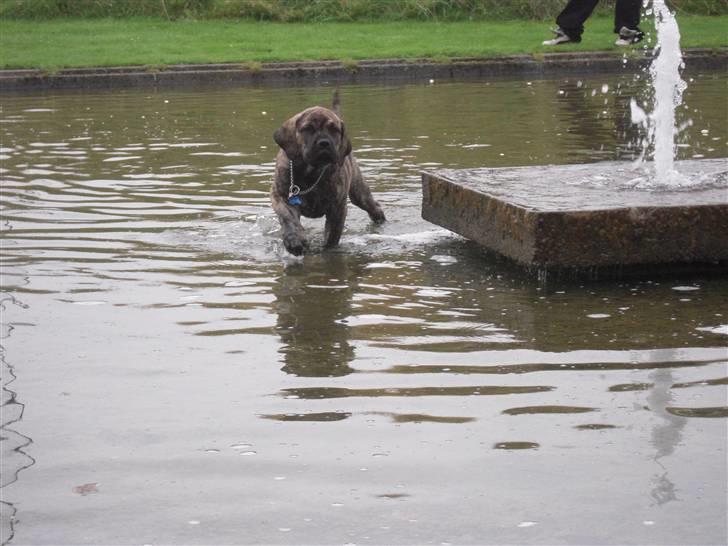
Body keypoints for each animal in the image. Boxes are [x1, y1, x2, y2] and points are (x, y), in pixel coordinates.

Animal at [272, 92, 386, 255]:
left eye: (334, 130)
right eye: (308, 128)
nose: (324, 143)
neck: (311, 172)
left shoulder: (337, 208)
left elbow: (332, 236)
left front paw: (327, 250)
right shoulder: (280, 196)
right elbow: (288, 218)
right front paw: (294, 240)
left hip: (359, 193)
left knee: (373, 206)